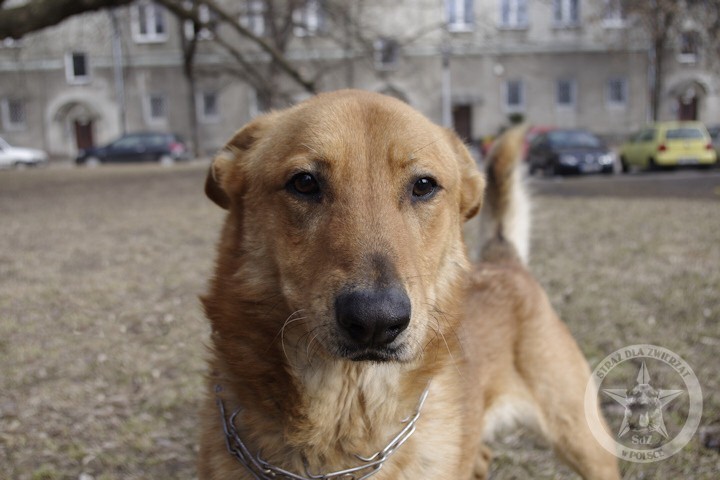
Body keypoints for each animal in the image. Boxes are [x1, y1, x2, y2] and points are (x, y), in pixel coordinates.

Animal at [198, 91, 620, 480]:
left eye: (423, 185)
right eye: (303, 182)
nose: (375, 320)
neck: (346, 410)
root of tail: (505, 261)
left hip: (584, 442)